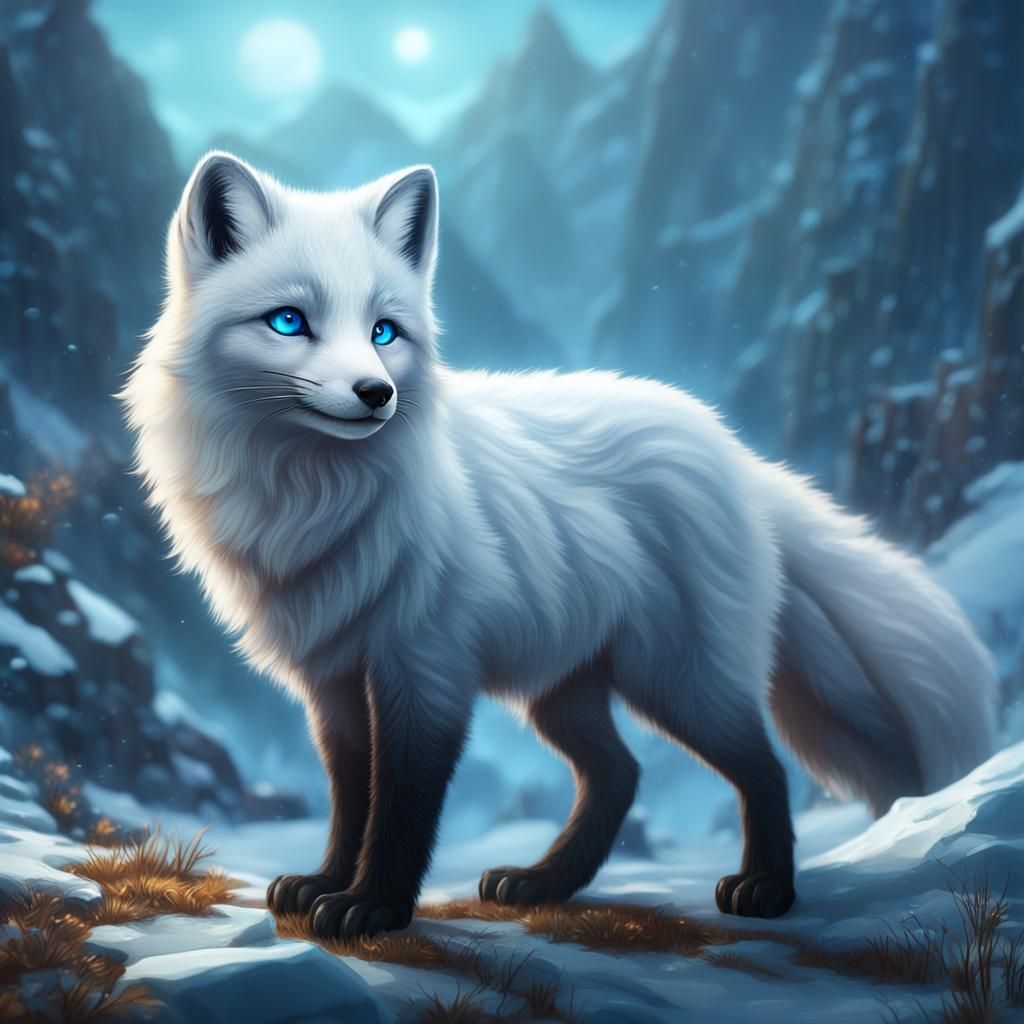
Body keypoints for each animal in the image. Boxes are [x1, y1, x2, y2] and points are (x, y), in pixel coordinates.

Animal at [123, 152, 997, 940]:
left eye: (383, 331)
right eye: (289, 322)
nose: (377, 393)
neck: (309, 500)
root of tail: (734, 454)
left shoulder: (424, 668)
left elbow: (401, 803)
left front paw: (372, 907)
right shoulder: (334, 680)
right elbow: (351, 794)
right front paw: (325, 883)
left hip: (679, 679)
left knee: (762, 768)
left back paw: (767, 890)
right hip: (564, 690)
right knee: (621, 775)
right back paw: (542, 882)